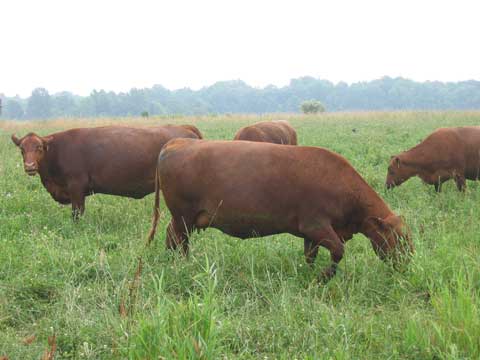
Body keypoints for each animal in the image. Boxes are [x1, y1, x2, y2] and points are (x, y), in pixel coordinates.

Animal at [10, 124, 202, 219]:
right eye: (21, 149)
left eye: (39, 148)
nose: (30, 166)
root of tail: (185, 127)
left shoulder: (76, 187)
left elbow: (77, 213)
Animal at [148, 139, 414, 282]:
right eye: (400, 239)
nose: (409, 264)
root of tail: (178, 142)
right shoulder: (316, 225)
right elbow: (338, 251)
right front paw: (324, 277)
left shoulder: (311, 233)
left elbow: (310, 256)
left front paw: (310, 274)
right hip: (184, 218)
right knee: (179, 240)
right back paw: (182, 265)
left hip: (184, 219)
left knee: (171, 238)